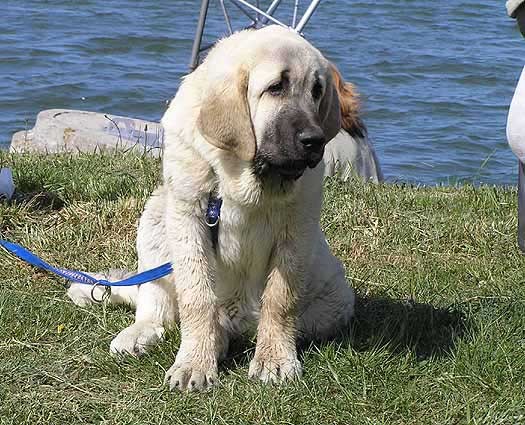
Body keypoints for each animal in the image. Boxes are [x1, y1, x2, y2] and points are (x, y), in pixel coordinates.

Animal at [67, 25, 356, 390]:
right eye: (276, 87)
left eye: (317, 91)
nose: (314, 140)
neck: (242, 172)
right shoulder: (188, 214)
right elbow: (197, 297)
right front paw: (194, 363)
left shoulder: (298, 224)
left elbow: (280, 299)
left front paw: (275, 360)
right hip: (155, 215)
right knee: (158, 307)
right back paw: (145, 335)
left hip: (336, 298)